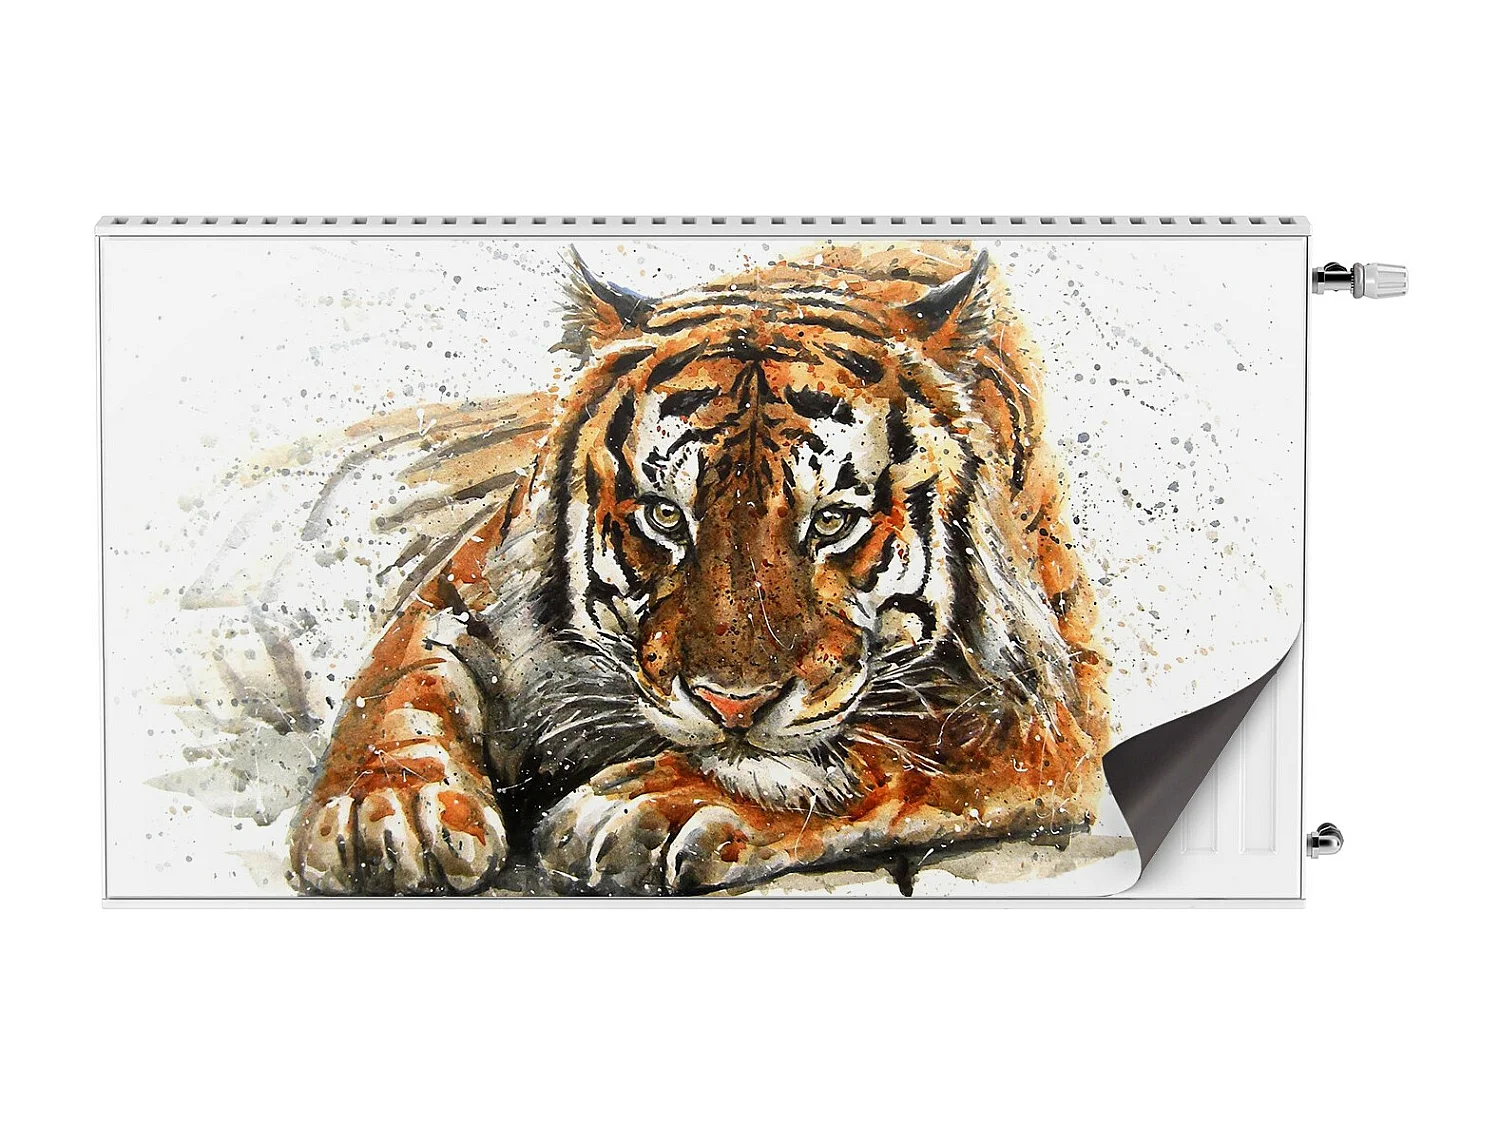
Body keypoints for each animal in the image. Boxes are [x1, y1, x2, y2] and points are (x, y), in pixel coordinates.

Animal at [288, 241, 1110, 895]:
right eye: (665, 516)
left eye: (832, 522)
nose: (733, 707)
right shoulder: (464, 587)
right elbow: (398, 684)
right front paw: (385, 810)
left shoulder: (1042, 707)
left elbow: (885, 746)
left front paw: (653, 804)